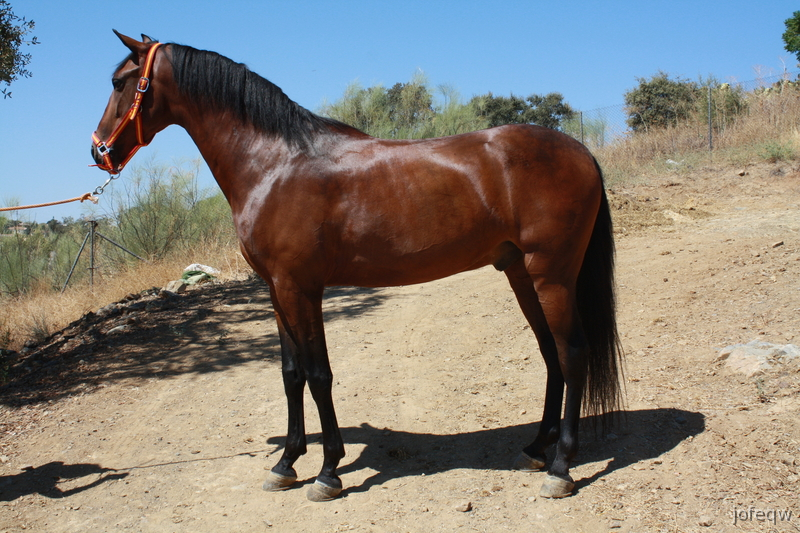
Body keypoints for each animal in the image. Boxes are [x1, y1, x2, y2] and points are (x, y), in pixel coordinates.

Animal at [91, 31, 622, 502]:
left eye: (119, 82)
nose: (99, 151)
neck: (274, 164)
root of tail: (580, 151)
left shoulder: (301, 288)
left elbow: (319, 373)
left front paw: (328, 472)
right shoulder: (277, 290)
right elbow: (291, 374)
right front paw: (286, 464)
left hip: (551, 274)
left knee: (572, 352)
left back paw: (560, 467)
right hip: (521, 274)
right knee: (551, 352)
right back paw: (535, 448)